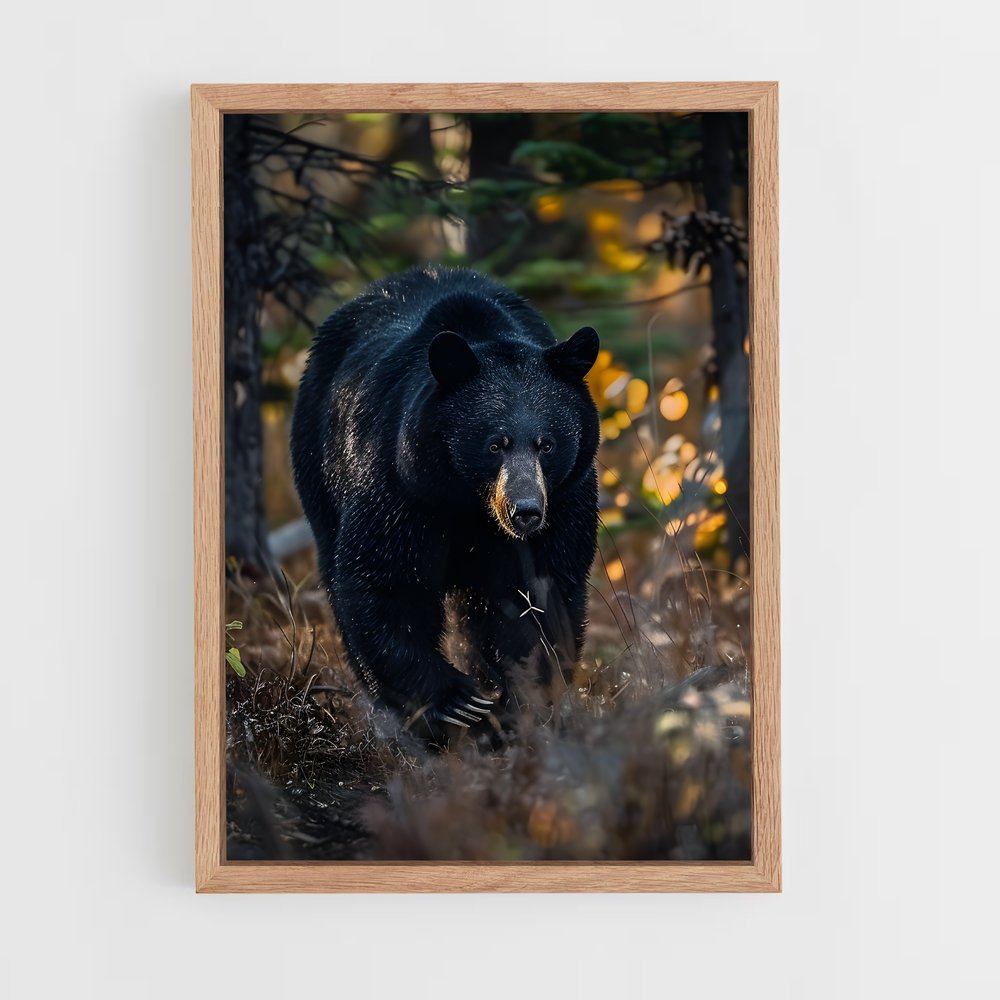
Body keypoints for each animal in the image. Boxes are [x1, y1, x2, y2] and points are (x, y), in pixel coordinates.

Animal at [291, 266, 600, 733]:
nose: (526, 511)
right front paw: (456, 701)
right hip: (316, 462)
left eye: (547, 444)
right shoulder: (401, 488)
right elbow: (386, 582)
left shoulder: (565, 501)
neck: (466, 503)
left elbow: (542, 596)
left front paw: (519, 701)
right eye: (495, 444)